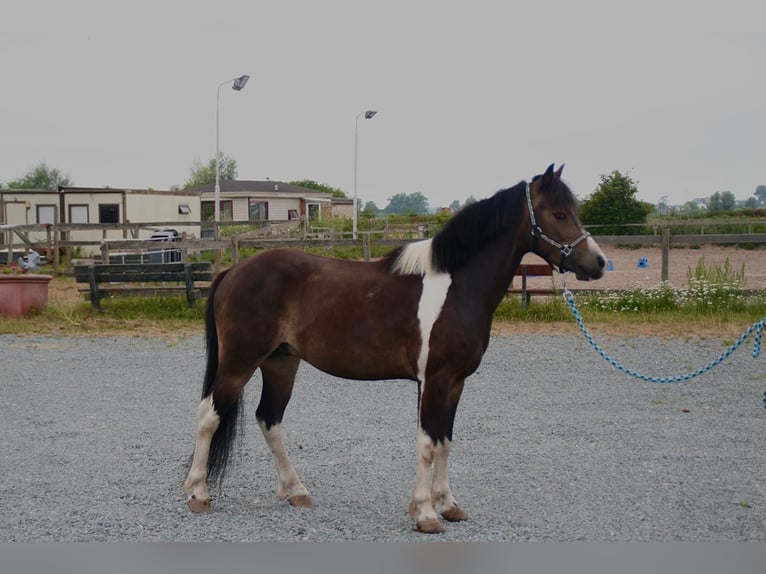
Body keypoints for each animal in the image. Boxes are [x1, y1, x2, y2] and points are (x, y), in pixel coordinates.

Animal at [182, 164, 606, 533]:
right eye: (559, 213)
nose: (598, 263)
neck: (456, 286)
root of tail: (233, 272)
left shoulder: (455, 383)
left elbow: (445, 441)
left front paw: (448, 505)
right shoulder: (434, 380)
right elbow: (428, 443)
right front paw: (425, 514)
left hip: (280, 363)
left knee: (269, 419)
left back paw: (296, 491)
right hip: (239, 363)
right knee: (208, 416)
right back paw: (198, 494)